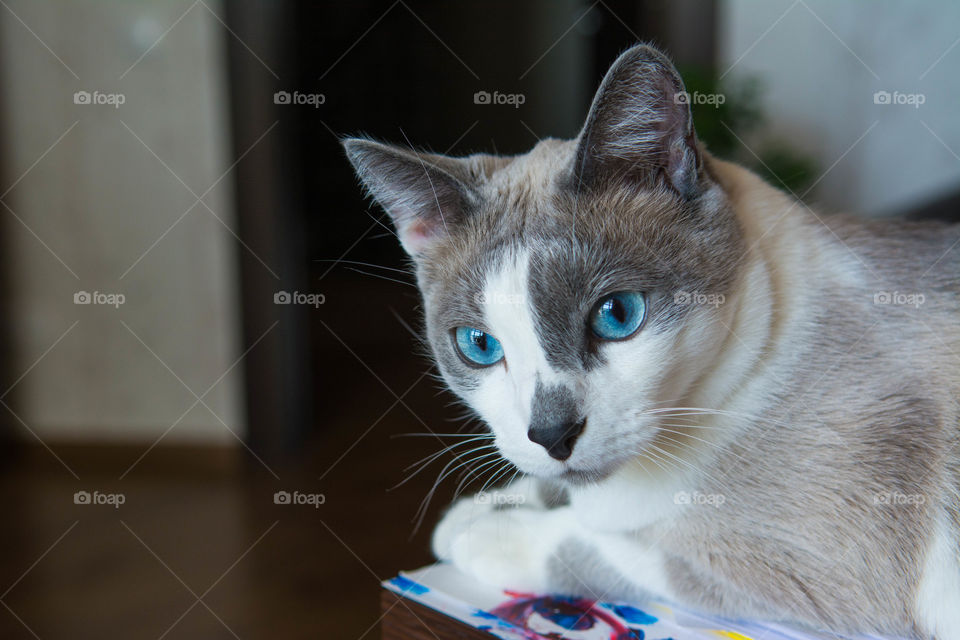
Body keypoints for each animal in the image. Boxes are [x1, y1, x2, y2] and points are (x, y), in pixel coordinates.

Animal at [344, 42, 960, 636]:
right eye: (478, 345)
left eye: (617, 315)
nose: (553, 434)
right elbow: (544, 486)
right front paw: (473, 512)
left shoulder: (795, 565)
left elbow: (594, 545)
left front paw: (485, 534)